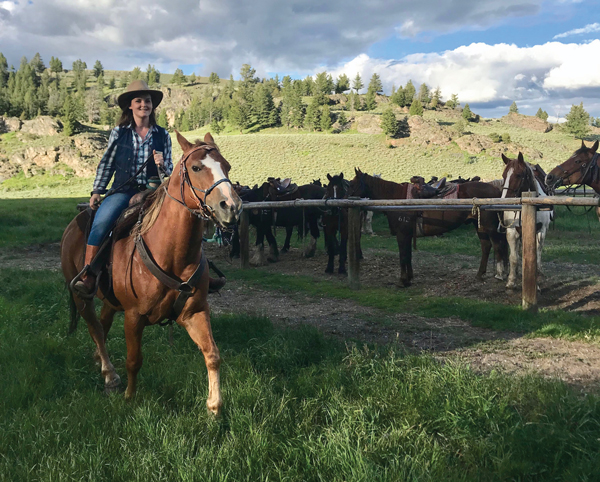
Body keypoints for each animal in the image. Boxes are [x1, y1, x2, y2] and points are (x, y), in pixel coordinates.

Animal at [59, 133, 240, 418]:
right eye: (196, 168)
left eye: (227, 166)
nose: (231, 207)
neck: (172, 254)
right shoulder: (134, 316)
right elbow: (134, 359)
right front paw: (129, 397)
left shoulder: (195, 312)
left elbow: (212, 354)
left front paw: (214, 407)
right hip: (80, 296)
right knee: (95, 328)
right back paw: (110, 374)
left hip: (110, 301)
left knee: (103, 323)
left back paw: (100, 361)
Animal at [350, 169, 508, 286]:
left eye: (352, 184)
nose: (346, 197)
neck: (396, 198)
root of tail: (496, 190)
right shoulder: (408, 234)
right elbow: (408, 255)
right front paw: (409, 277)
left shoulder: (402, 234)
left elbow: (403, 256)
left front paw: (403, 281)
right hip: (479, 225)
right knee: (486, 246)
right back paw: (480, 274)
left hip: (490, 227)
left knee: (498, 246)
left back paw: (500, 275)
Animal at [496, 154, 552, 290]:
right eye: (503, 176)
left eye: (518, 175)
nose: (504, 201)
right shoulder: (512, 232)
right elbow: (513, 257)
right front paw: (511, 281)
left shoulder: (540, 232)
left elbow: (535, 257)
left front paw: (536, 284)